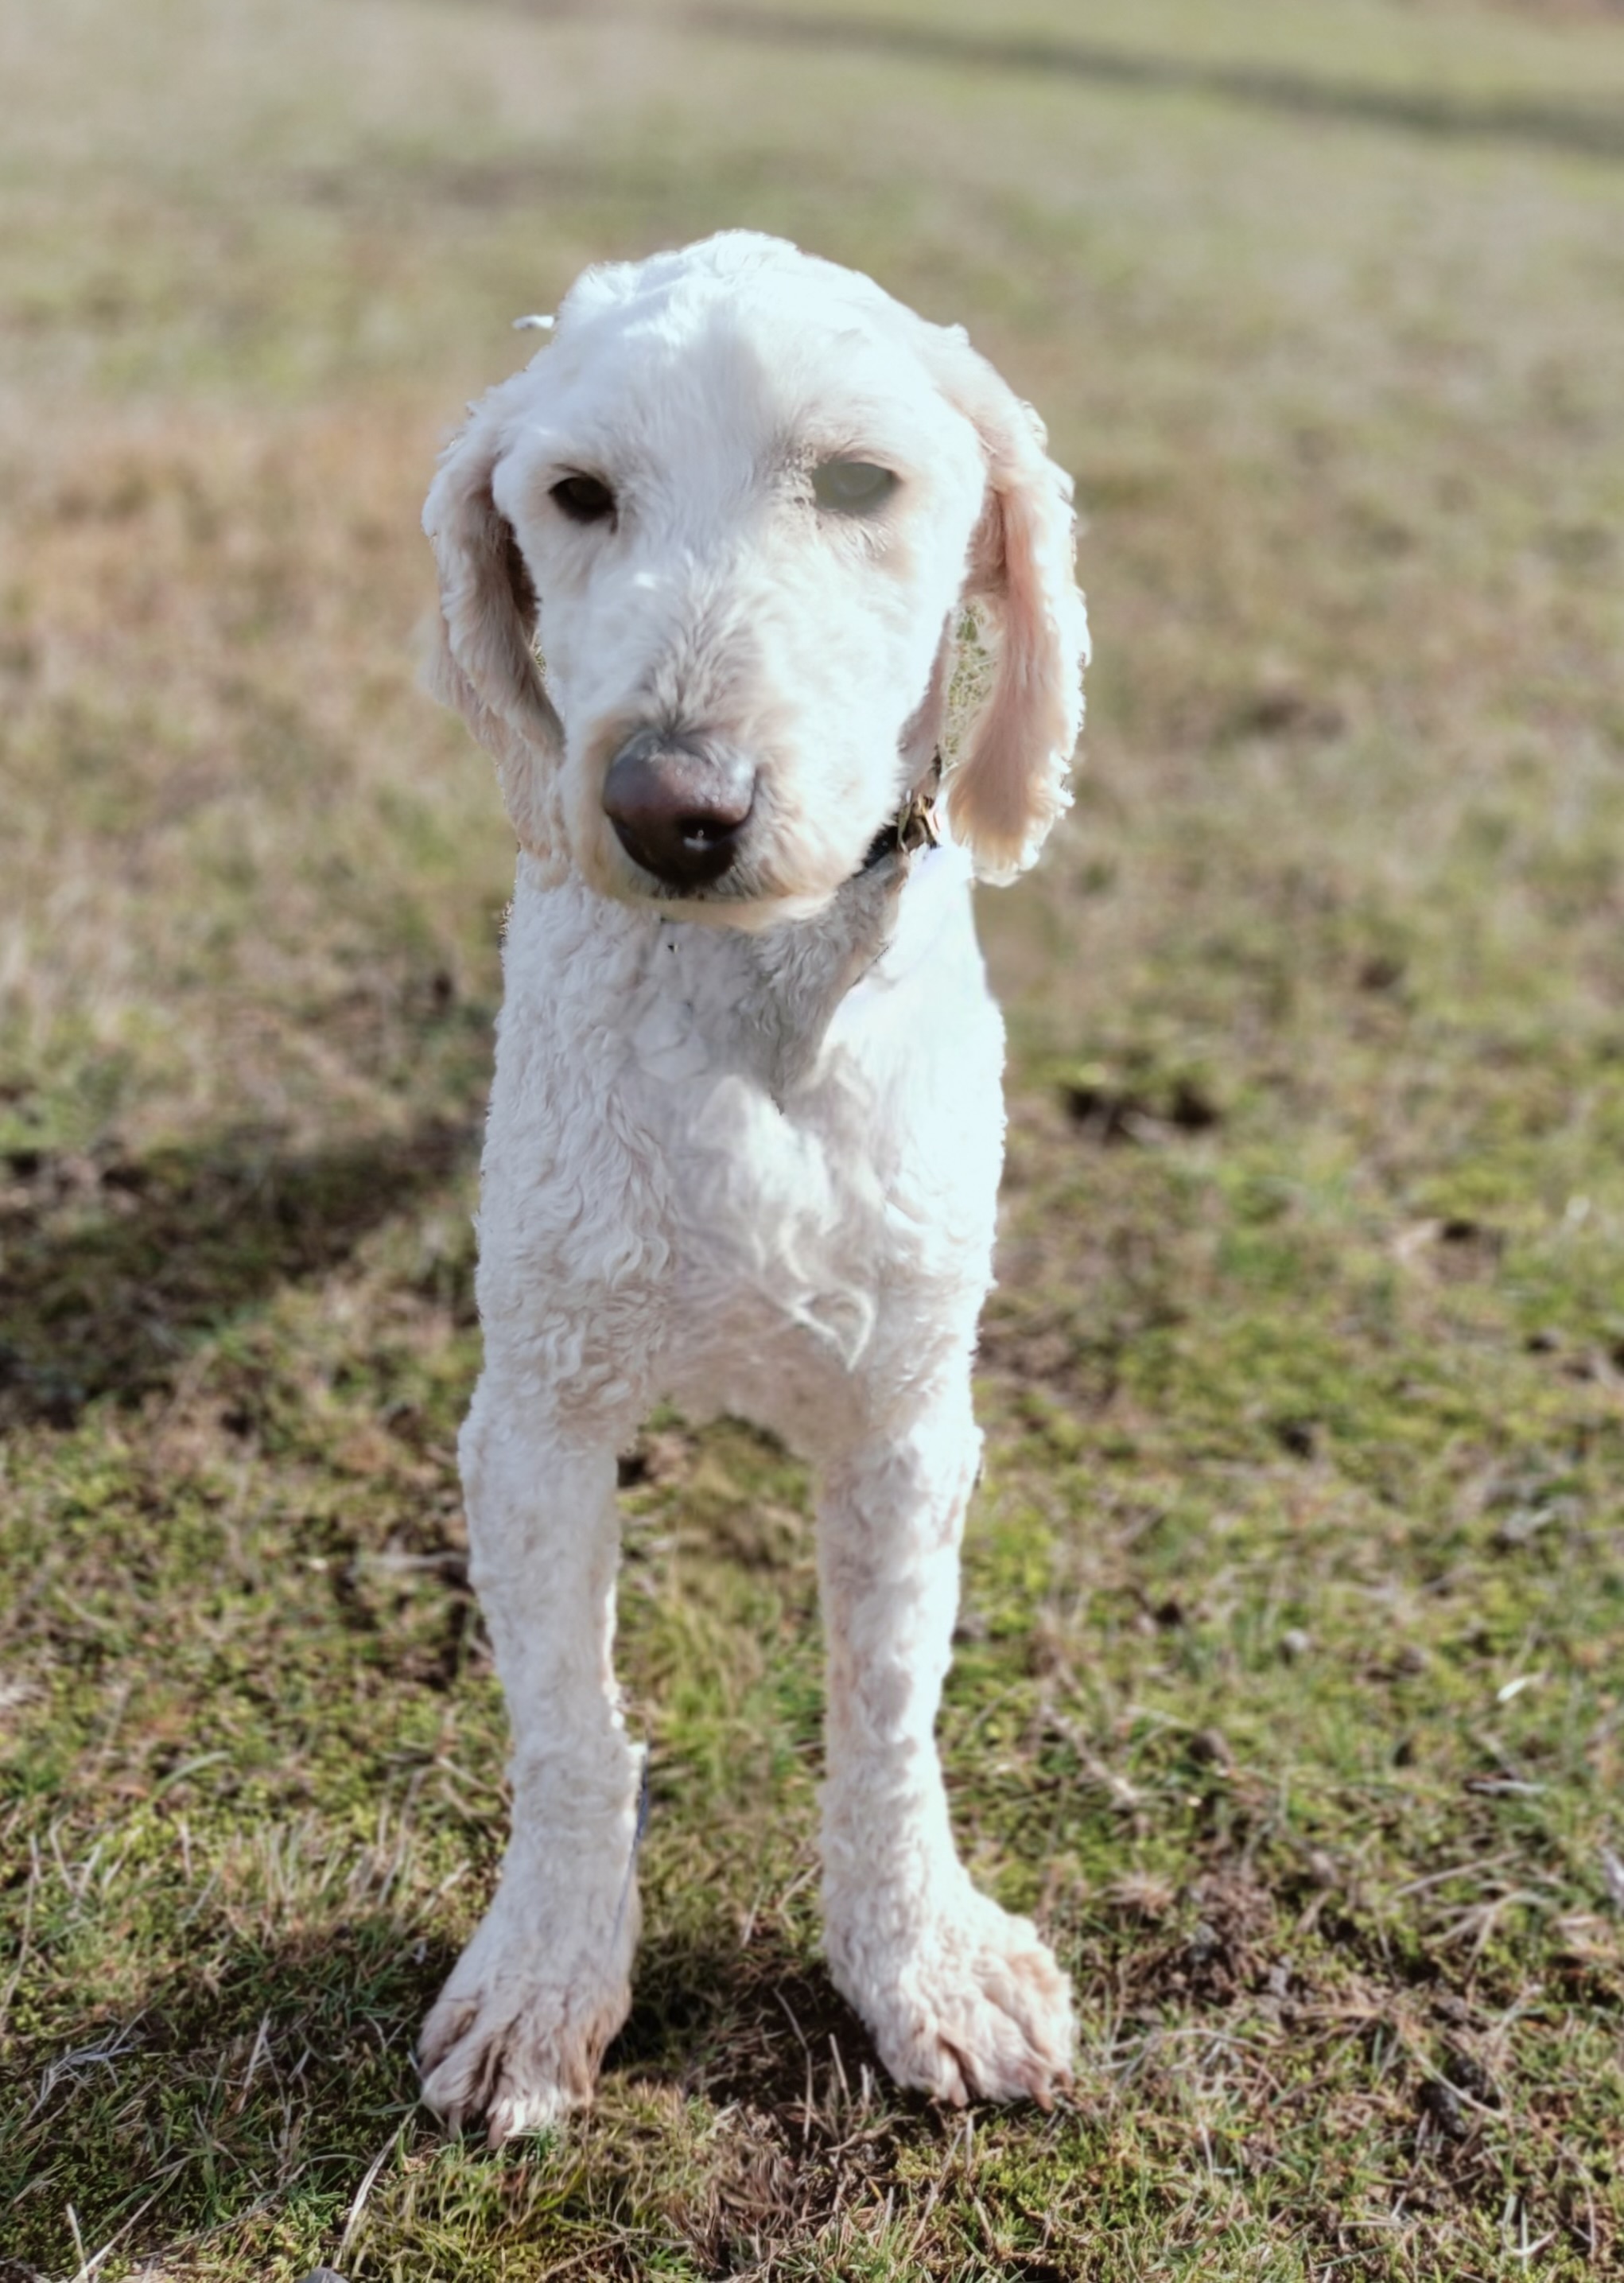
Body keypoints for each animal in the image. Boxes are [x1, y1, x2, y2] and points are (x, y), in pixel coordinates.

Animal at [415, 231, 1091, 2137]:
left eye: (858, 482)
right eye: (575, 497)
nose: (671, 808)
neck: (746, 998)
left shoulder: (906, 1422)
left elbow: (886, 1716)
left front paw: (919, 1964)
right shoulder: (537, 1417)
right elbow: (569, 1729)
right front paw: (544, 1982)